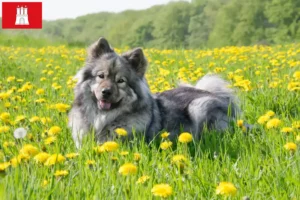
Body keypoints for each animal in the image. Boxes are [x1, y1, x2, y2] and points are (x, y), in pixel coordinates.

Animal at [68, 37, 239, 148]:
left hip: (198, 107)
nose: (105, 92)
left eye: (121, 81)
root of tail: (220, 97)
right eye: (101, 76)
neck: (103, 119)